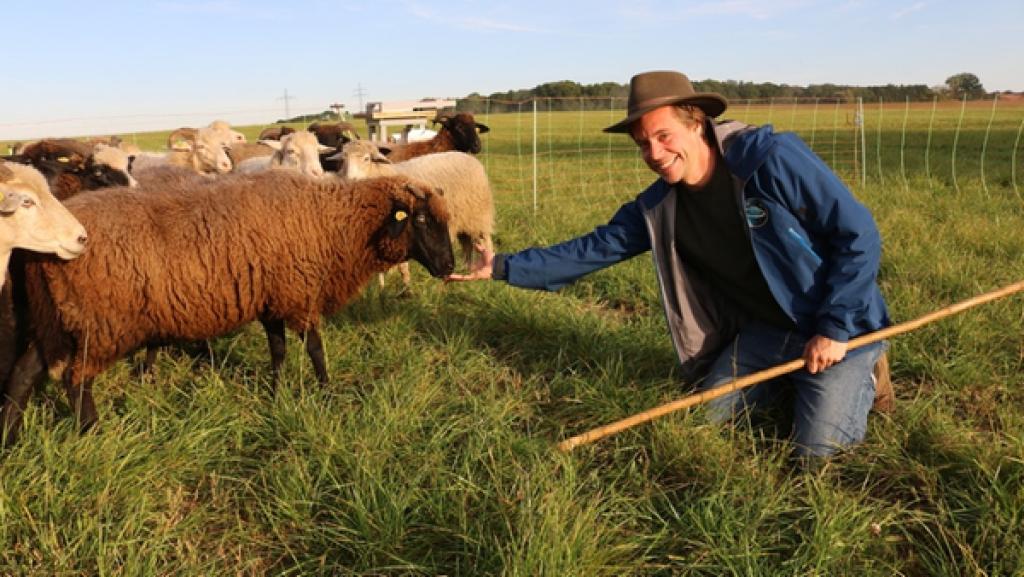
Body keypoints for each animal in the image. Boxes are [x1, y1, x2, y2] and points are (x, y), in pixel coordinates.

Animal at [1, 171, 454, 441]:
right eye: (421, 220)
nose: (450, 267)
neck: (333, 221)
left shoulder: (272, 299)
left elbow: (278, 350)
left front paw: (275, 391)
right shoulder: (299, 293)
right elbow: (316, 350)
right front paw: (327, 394)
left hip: (54, 319)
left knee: (23, 373)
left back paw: (10, 436)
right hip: (99, 324)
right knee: (75, 380)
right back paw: (93, 432)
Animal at [335, 140, 494, 288]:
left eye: (366, 159)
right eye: (343, 159)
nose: (350, 181)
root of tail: (470, 158)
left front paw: (406, 285)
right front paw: (382, 286)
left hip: (479, 214)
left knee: (485, 241)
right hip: (464, 219)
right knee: (467, 244)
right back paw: (468, 270)